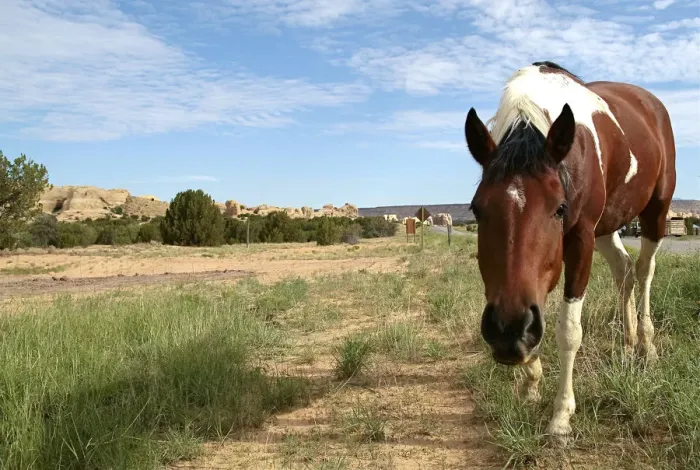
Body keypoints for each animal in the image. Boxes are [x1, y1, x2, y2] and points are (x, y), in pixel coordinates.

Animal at [463, 61, 676, 439]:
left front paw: (561, 415)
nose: (507, 330)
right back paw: (627, 345)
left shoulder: (580, 239)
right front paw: (531, 383)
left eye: (559, 208)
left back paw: (646, 346)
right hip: (607, 226)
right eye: (476, 209)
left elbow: (568, 331)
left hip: (655, 213)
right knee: (624, 271)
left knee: (644, 271)